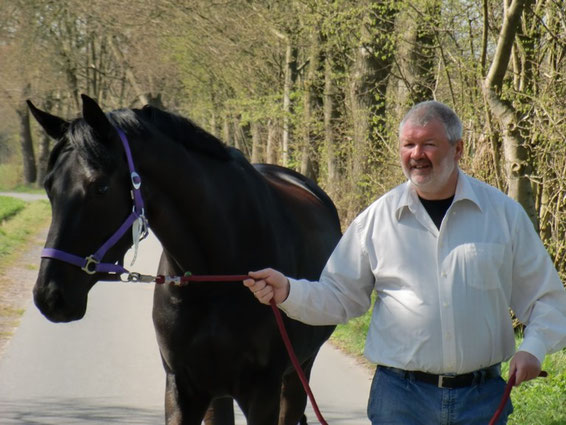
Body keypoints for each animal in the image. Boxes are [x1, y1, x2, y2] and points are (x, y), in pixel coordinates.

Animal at [27, 96, 342, 424]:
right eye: (49, 187)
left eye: (100, 187)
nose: (49, 296)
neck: (215, 278)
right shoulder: (182, 388)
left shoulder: (262, 393)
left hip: (297, 373)